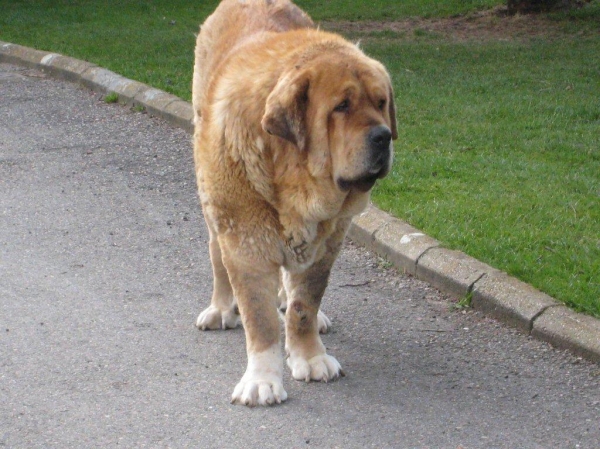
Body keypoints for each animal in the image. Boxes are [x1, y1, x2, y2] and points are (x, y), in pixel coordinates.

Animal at [193, 0, 398, 406]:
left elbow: (305, 303)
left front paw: (309, 356)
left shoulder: (326, 244)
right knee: (216, 256)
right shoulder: (246, 243)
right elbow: (259, 318)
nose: (383, 136)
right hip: (213, 208)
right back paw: (221, 308)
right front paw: (262, 380)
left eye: (381, 102)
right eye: (342, 106)